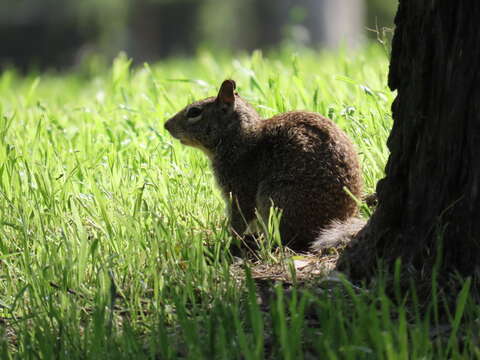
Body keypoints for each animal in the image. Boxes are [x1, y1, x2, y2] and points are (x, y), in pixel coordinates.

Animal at [165, 80, 364, 252]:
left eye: (194, 112)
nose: (166, 125)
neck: (238, 137)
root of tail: (337, 220)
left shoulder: (239, 189)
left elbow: (239, 219)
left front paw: (228, 242)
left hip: (274, 199)